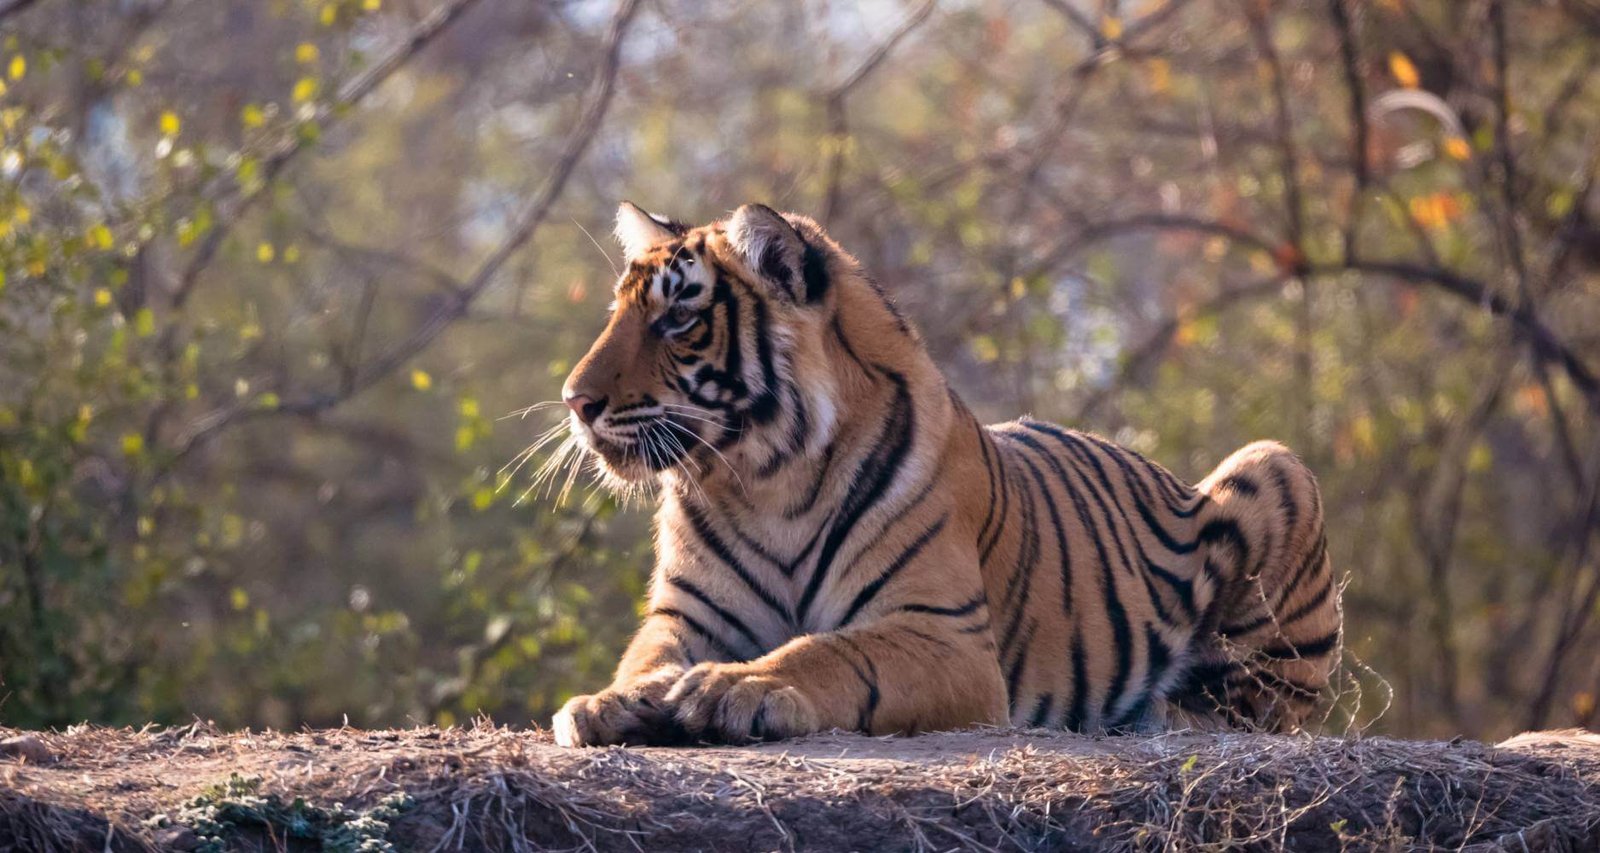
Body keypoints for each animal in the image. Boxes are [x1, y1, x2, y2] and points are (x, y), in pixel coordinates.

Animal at [547, 200, 1337, 745]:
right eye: (620, 311)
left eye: (678, 318)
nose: (575, 400)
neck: (761, 478)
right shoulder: (685, 615)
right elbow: (646, 659)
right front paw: (610, 702)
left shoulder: (943, 632)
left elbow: (830, 650)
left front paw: (737, 686)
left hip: (1276, 466)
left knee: (1266, 704)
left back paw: (1166, 714)